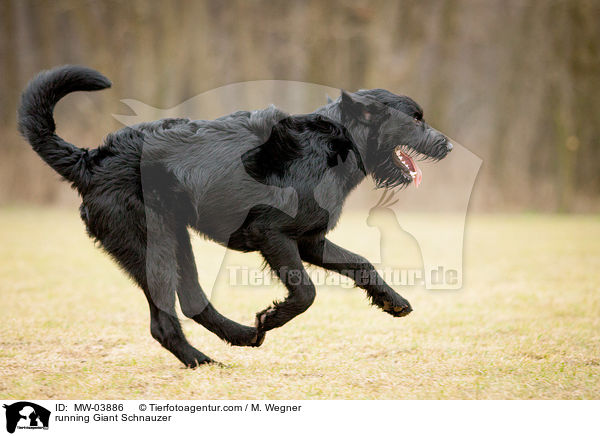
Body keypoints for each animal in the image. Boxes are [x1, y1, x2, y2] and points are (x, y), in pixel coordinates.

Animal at [17, 64, 450, 366]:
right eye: (414, 119)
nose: (446, 145)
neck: (331, 144)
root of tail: (90, 160)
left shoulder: (310, 241)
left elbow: (361, 263)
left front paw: (393, 300)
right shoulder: (273, 236)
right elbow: (306, 292)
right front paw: (271, 317)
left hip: (177, 240)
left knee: (193, 301)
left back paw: (239, 336)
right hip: (149, 246)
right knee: (163, 322)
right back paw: (204, 360)